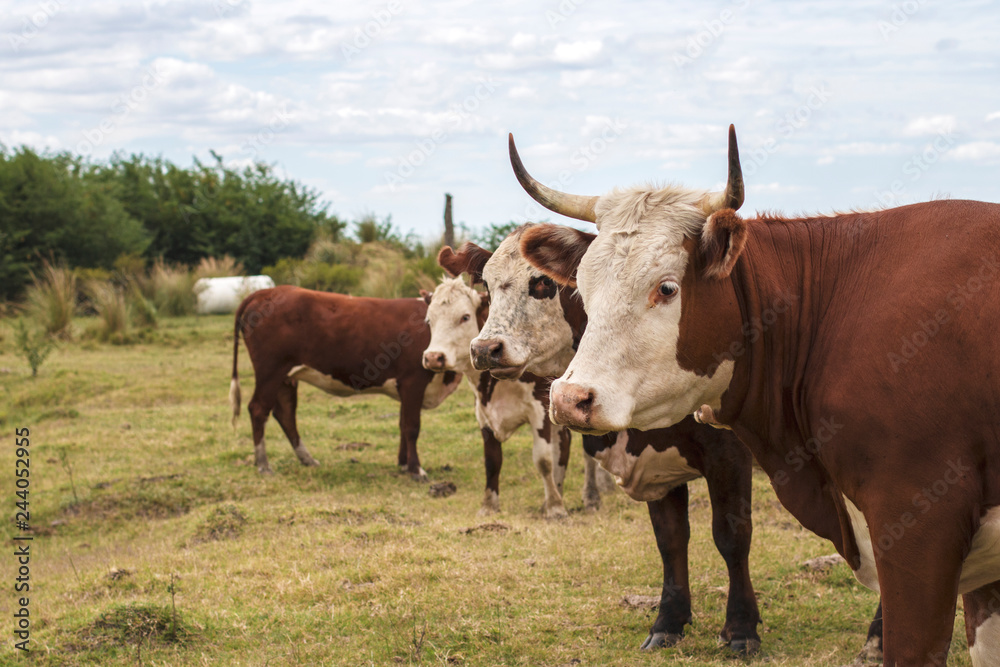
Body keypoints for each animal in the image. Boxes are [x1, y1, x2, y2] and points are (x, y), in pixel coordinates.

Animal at [229, 288, 462, 480]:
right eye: (430, 320)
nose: (435, 357)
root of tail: (264, 292)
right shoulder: (413, 381)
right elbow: (412, 426)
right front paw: (416, 469)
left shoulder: (404, 388)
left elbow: (402, 424)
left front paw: (403, 464)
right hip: (270, 371)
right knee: (258, 409)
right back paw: (263, 465)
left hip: (286, 377)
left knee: (285, 413)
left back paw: (307, 459)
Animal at [420, 274, 584, 520]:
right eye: (430, 320)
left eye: (464, 317)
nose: (433, 357)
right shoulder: (483, 414)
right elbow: (492, 460)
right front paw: (489, 505)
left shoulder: (540, 410)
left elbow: (543, 460)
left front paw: (555, 507)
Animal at [438, 232, 764, 656]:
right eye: (487, 287)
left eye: (542, 283)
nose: (484, 349)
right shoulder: (659, 470)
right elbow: (671, 542)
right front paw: (668, 622)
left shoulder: (729, 458)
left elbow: (731, 538)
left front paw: (741, 628)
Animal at [516, 126, 1000, 667]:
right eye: (580, 287)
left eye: (667, 288)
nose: (569, 398)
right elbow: (672, 539)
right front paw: (670, 623)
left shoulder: (919, 529)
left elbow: (731, 536)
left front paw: (740, 629)